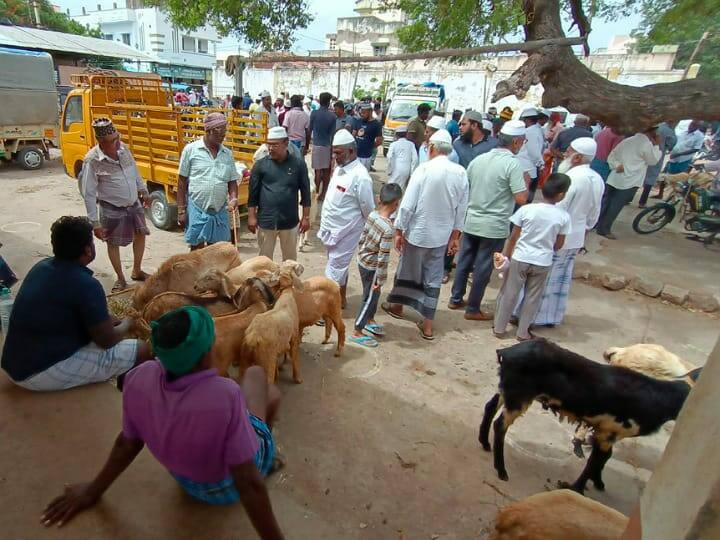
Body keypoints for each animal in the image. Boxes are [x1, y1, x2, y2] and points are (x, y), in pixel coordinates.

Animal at [478, 340, 704, 496]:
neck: (659, 396)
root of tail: (506, 352)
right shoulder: (610, 430)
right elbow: (596, 460)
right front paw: (578, 488)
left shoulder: (609, 432)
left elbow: (604, 458)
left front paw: (599, 483)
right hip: (519, 396)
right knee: (500, 425)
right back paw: (502, 471)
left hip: (508, 390)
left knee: (490, 406)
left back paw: (485, 443)